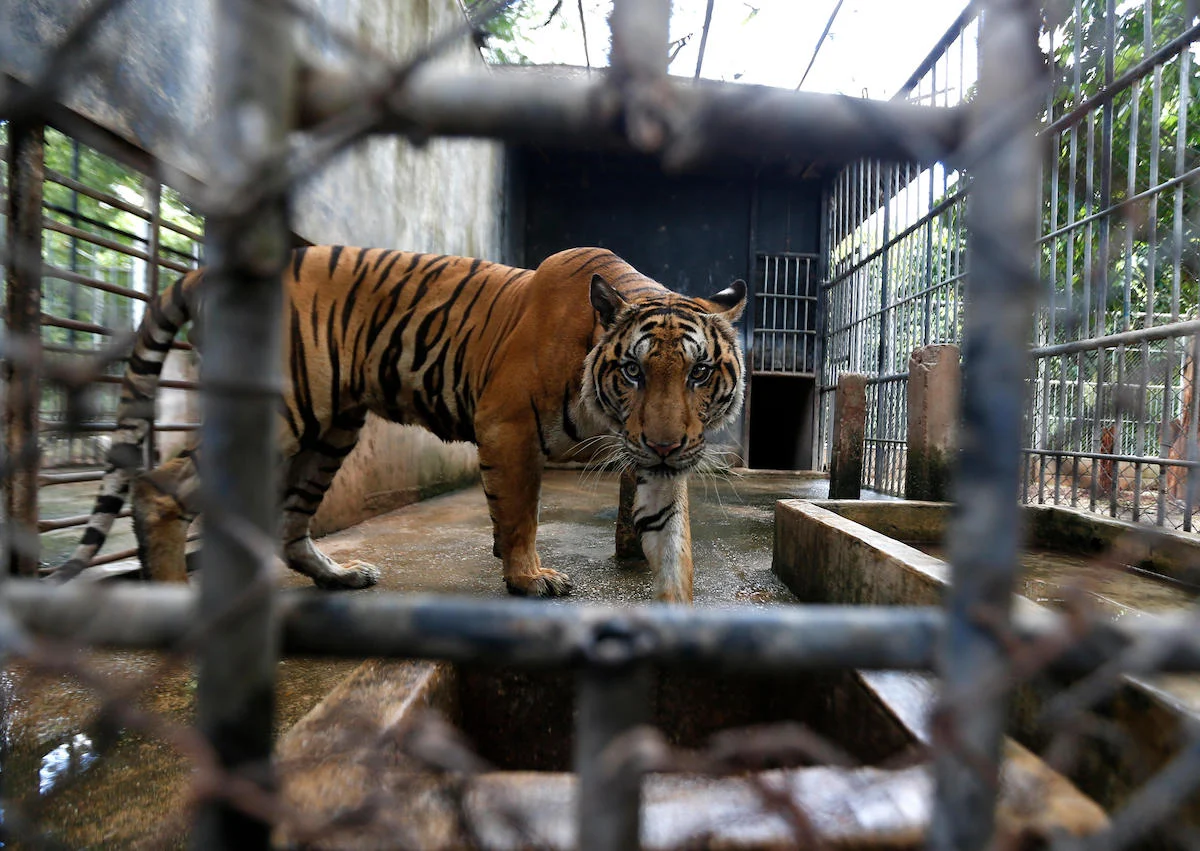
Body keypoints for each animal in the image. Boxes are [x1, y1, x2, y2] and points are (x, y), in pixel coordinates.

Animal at [58, 246, 748, 604]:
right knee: (161, 485)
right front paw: (528, 577)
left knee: (288, 522)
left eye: (698, 372)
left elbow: (673, 543)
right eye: (632, 372)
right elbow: (519, 514)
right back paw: (171, 599)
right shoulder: (508, 425)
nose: (665, 444)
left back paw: (340, 577)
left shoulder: (656, 459)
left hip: (330, 431)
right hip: (282, 411)